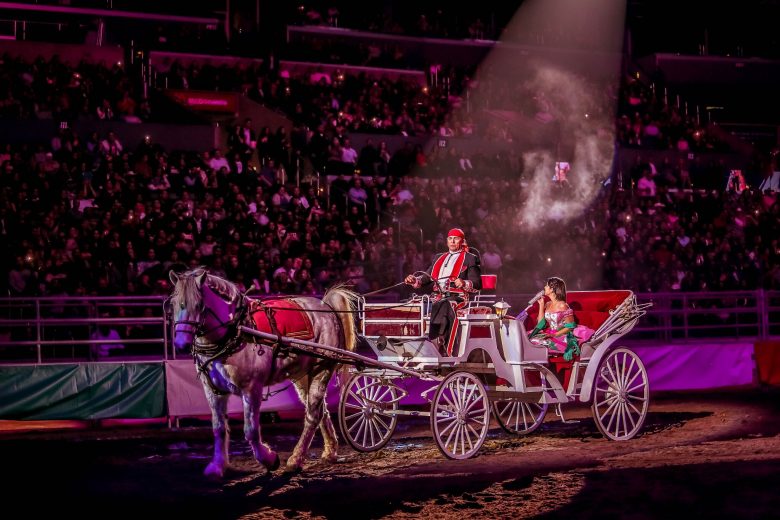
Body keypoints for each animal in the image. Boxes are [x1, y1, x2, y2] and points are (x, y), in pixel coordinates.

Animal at [169, 270, 358, 478]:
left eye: (199, 305)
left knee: (313, 415)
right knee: (320, 411)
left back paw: (295, 460)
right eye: (173, 303)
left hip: (321, 369)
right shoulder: (213, 391)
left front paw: (269, 459)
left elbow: (250, 431)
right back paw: (330, 451)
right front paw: (217, 465)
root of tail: (325, 306)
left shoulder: (251, 389)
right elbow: (219, 429)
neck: (236, 332)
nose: (181, 344)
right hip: (302, 375)